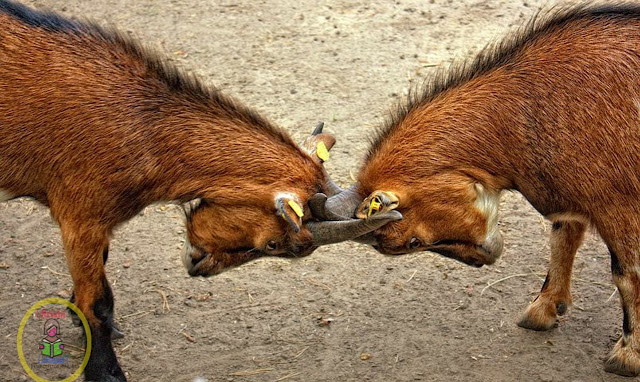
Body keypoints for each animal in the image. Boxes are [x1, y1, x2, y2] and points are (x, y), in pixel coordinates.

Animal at [0, 1, 400, 380]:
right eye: (276, 245)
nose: (198, 268)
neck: (143, 126)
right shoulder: (80, 217)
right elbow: (94, 303)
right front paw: (107, 373)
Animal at [318, 3, 640, 380]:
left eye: (412, 242)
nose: (483, 259)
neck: (525, 107)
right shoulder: (570, 197)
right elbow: (563, 239)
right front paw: (542, 310)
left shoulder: (617, 203)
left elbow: (627, 273)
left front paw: (627, 355)